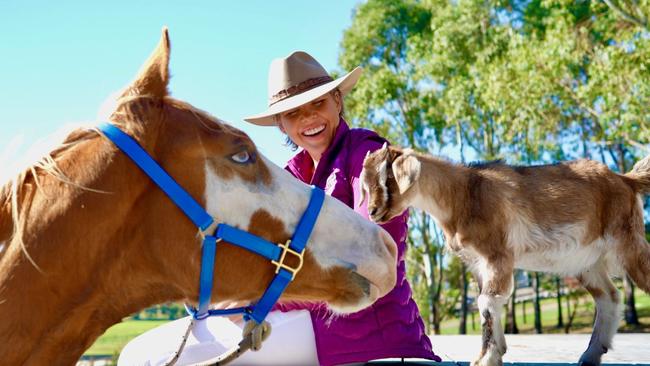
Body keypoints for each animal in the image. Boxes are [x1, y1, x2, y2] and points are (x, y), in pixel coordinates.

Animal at [356, 146, 648, 366]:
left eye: (388, 178)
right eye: (366, 185)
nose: (373, 212)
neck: (463, 194)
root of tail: (626, 180)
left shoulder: (497, 255)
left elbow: (487, 302)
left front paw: (486, 358)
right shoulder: (477, 262)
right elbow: (485, 302)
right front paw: (496, 351)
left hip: (628, 243)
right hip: (586, 262)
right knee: (609, 297)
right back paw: (590, 355)